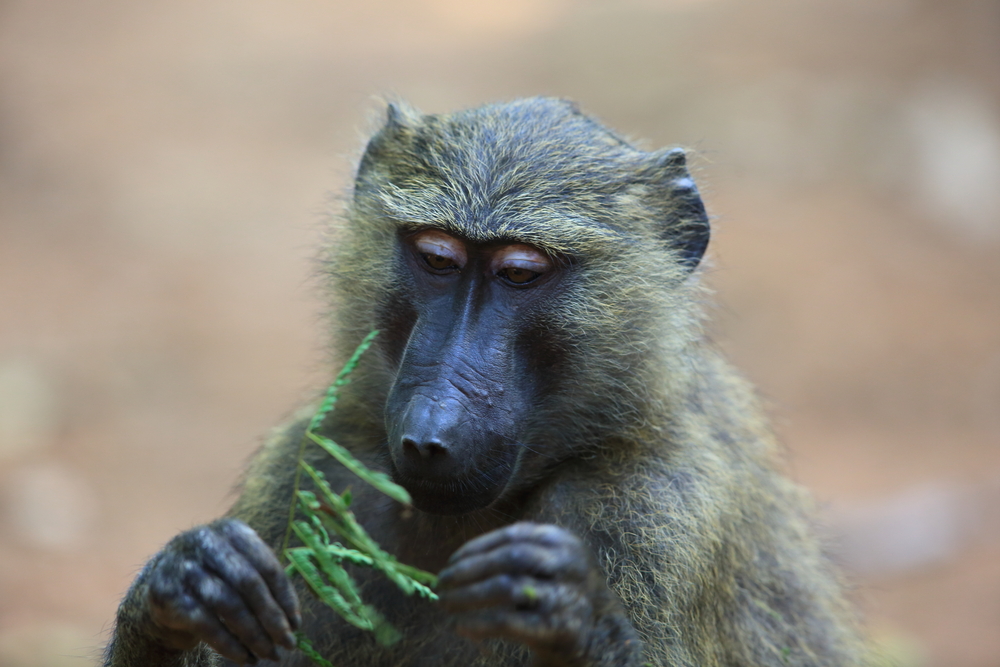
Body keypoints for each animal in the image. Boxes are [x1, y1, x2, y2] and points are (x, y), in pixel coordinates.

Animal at [103, 97, 866, 667]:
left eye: (521, 272)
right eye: (437, 258)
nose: (430, 434)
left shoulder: (654, 512)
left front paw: (571, 616)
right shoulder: (309, 467)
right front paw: (189, 581)